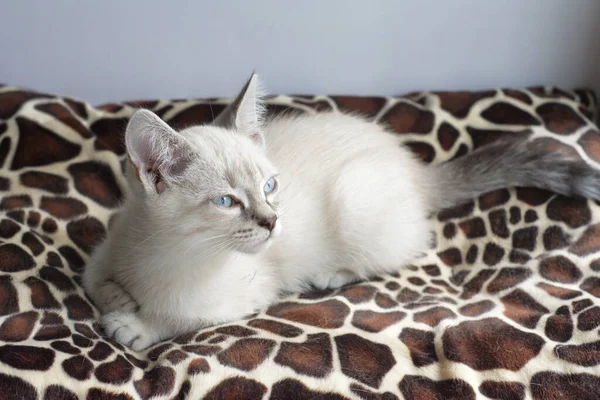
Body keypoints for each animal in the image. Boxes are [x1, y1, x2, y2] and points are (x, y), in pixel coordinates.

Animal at [82, 75, 600, 350]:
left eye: (269, 187)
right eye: (227, 202)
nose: (273, 221)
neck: (165, 254)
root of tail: (414, 168)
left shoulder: (241, 298)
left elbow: (178, 318)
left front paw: (133, 324)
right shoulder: (102, 252)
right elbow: (94, 282)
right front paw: (118, 298)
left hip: (357, 202)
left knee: (407, 248)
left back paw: (332, 274)